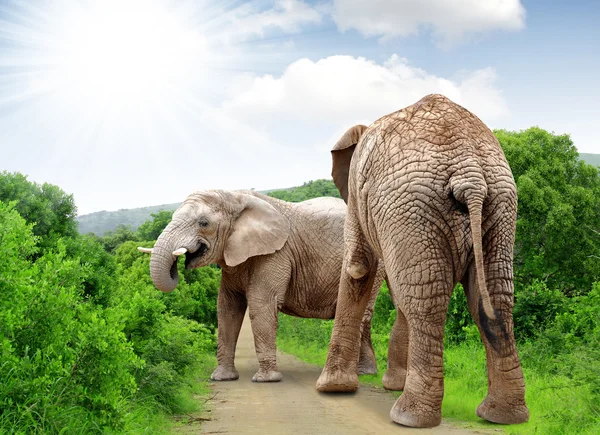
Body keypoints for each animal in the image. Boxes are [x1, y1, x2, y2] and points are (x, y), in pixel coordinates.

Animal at [139, 189, 386, 384]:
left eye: (204, 223)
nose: (178, 263)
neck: (234, 198)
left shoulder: (277, 253)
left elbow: (261, 305)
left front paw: (266, 380)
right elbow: (227, 308)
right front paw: (222, 378)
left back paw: (355, 375)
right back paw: (362, 373)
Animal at [316, 94, 528, 430]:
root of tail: (469, 172)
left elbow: (358, 267)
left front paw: (331, 388)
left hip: (413, 206)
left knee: (425, 301)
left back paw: (409, 417)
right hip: (498, 203)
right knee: (495, 297)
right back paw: (503, 417)